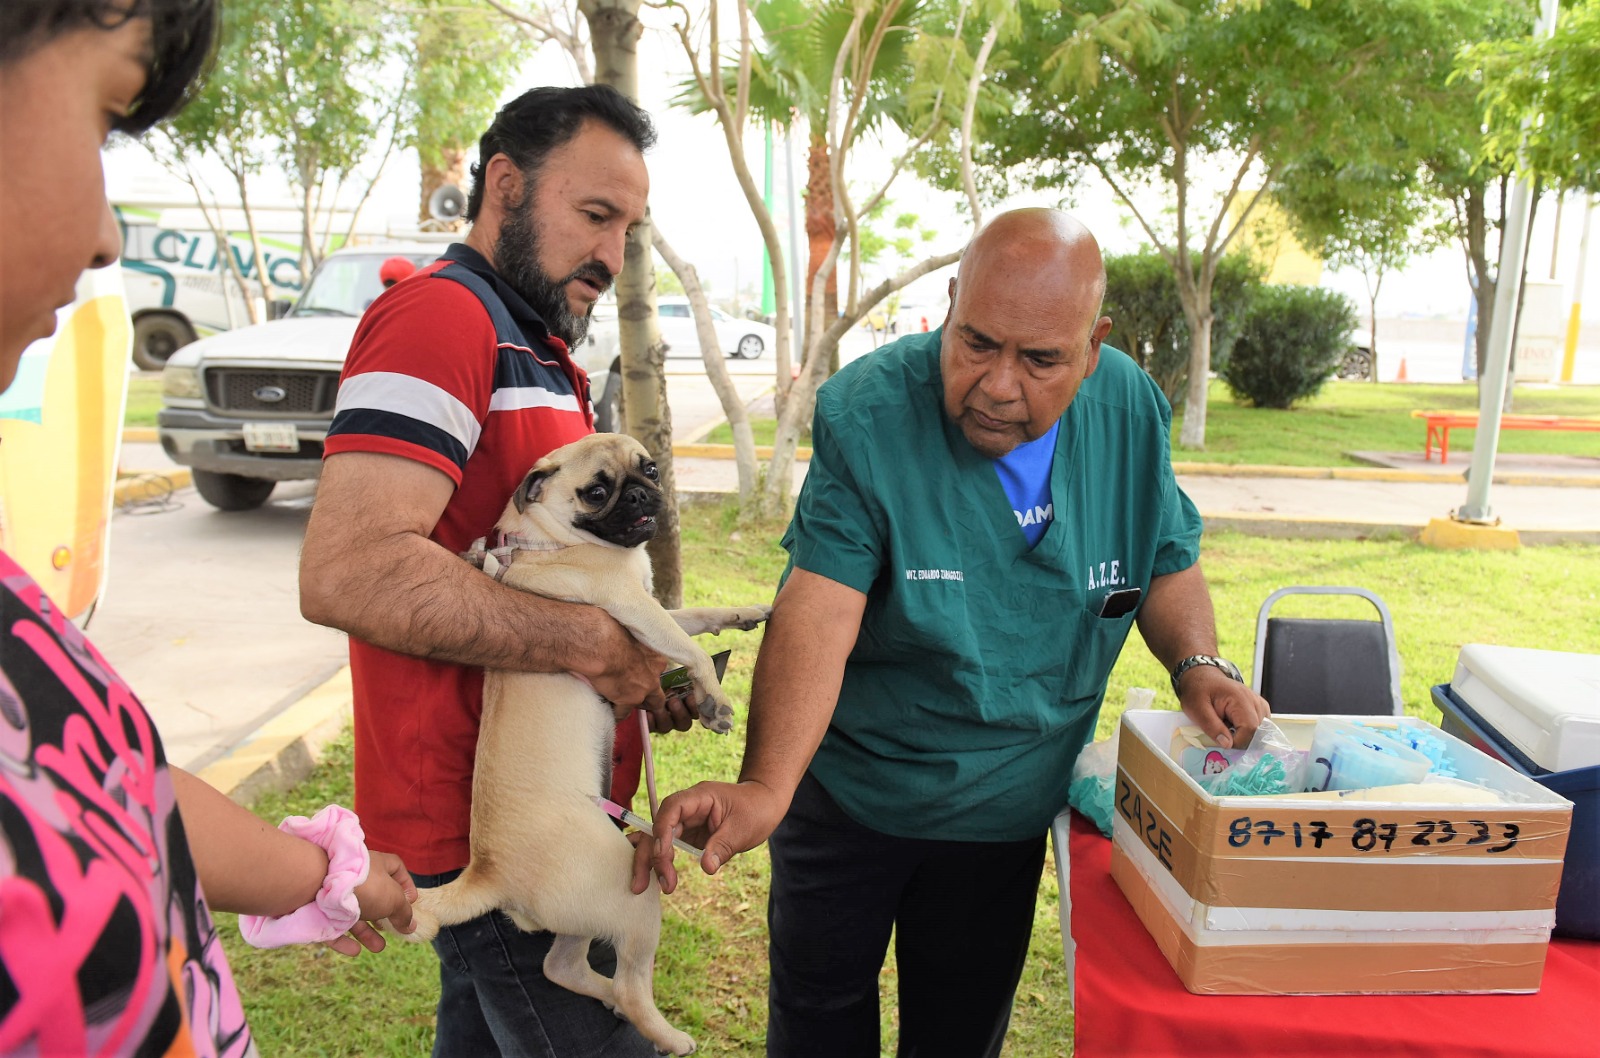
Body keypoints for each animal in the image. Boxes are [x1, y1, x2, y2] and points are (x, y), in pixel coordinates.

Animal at [406, 432, 768, 1049]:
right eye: (597, 493)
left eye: (649, 468)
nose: (644, 492)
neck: (550, 538)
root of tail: (488, 874)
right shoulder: (634, 607)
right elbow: (691, 649)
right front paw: (716, 700)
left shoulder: (657, 607)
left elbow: (698, 615)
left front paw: (746, 613)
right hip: (629, 894)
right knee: (628, 982)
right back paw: (666, 1034)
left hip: (583, 914)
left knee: (563, 967)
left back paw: (607, 999)